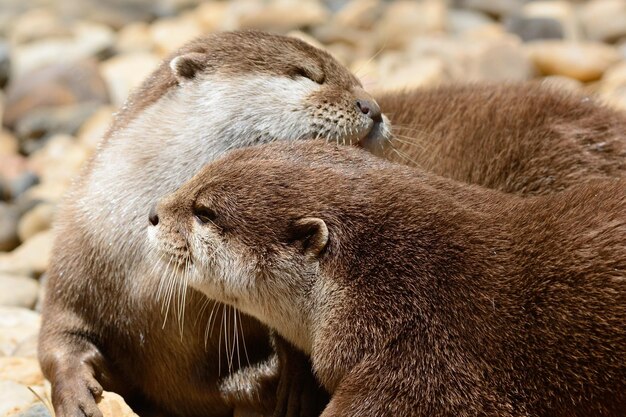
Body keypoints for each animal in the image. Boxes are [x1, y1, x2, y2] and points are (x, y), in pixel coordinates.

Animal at [39, 30, 386, 416]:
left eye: (357, 80)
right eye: (306, 74)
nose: (372, 107)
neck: (147, 269)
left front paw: (293, 382)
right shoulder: (75, 259)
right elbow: (58, 338)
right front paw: (75, 394)